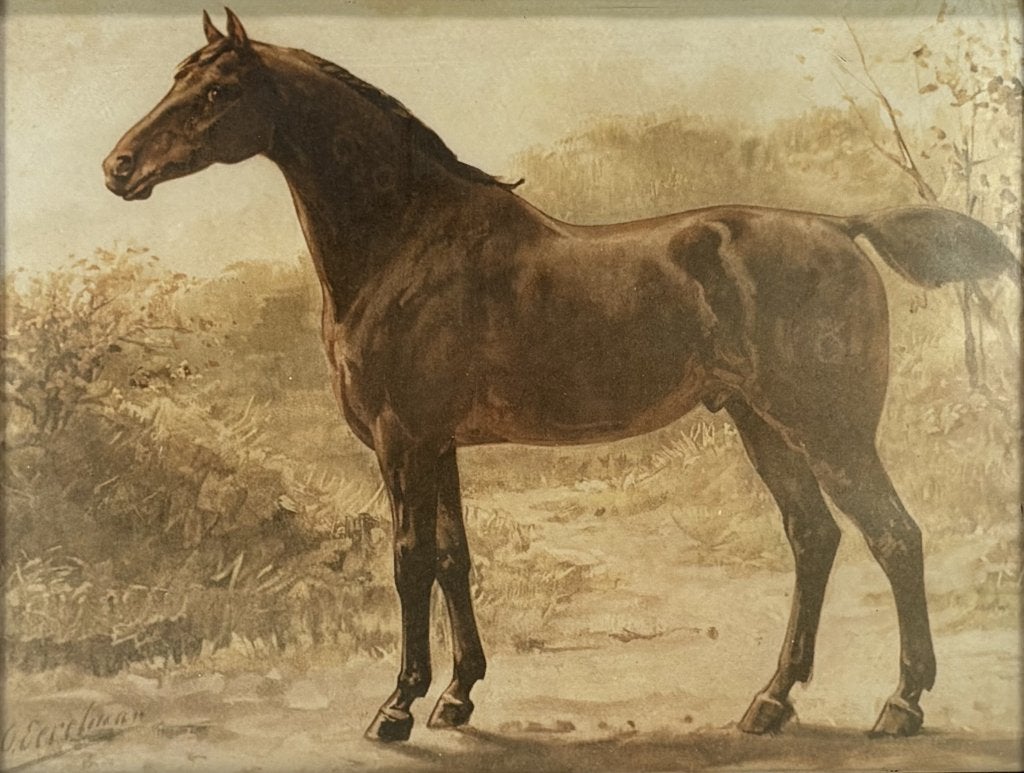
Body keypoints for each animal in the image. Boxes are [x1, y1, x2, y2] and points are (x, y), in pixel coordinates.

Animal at [104, 10, 1016, 743]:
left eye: (218, 90)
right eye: (179, 79)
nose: (118, 168)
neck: (408, 241)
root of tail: (843, 226)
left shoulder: (403, 441)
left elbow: (407, 560)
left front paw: (397, 707)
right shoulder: (438, 444)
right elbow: (453, 558)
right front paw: (459, 697)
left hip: (828, 427)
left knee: (895, 536)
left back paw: (900, 705)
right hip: (761, 422)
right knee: (814, 536)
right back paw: (771, 701)